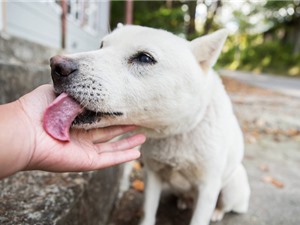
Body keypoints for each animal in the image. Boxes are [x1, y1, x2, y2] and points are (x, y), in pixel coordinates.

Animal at [45, 25, 251, 225]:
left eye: (145, 58)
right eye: (102, 45)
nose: (56, 66)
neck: (176, 133)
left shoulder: (208, 188)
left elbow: (200, 218)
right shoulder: (152, 175)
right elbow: (148, 211)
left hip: (231, 186)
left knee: (226, 205)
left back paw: (216, 212)